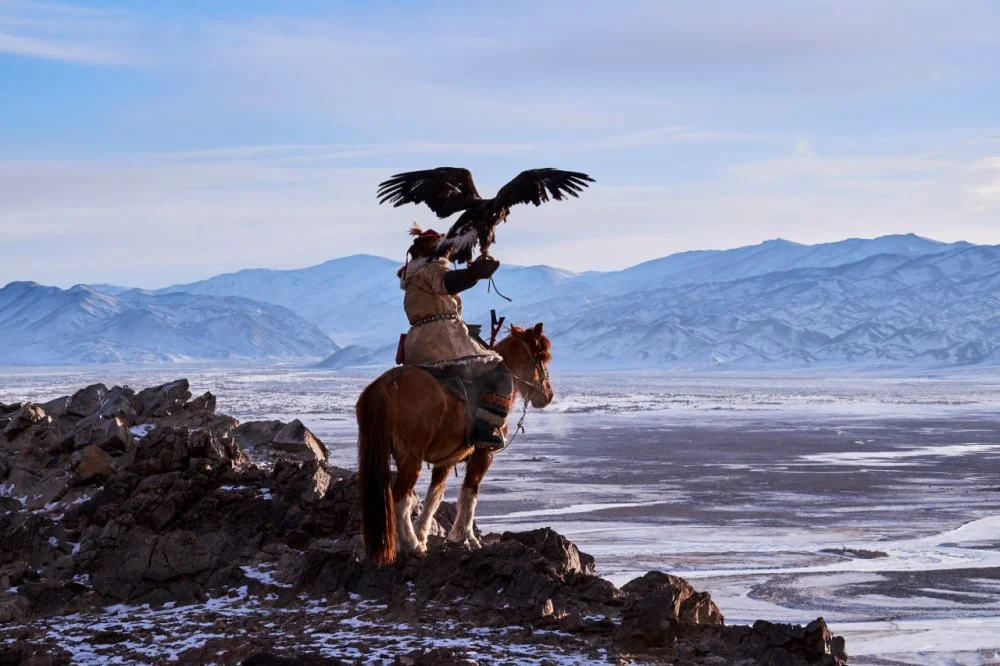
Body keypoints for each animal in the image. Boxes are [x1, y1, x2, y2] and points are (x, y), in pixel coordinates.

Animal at [356, 324, 556, 564]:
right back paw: (412, 545)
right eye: (541, 357)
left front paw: (424, 534)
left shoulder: (446, 460)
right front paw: (467, 538)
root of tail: (386, 385)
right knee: (400, 498)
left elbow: (434, 496)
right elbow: (470, 494)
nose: (548, 395)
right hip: (411, 458)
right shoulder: (483, 454)